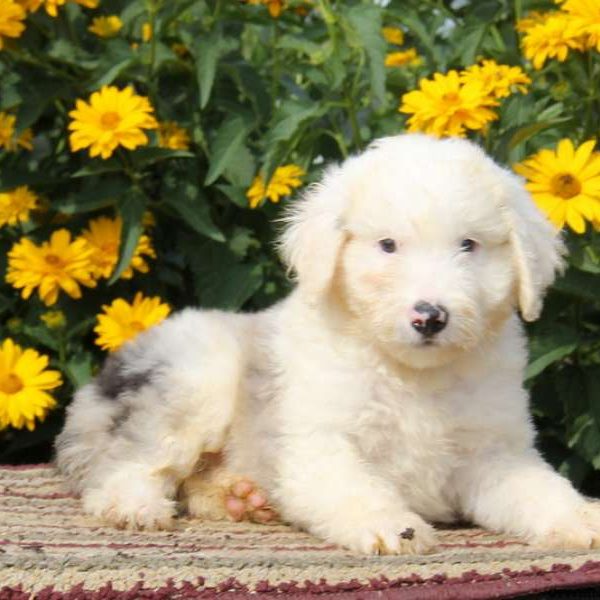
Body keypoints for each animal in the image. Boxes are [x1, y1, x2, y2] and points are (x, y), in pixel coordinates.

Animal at [56, 135, 600, 552]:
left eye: (468, 245)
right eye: (387, 246)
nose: (430, 316)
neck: (412, 376)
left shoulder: (496, 453)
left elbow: (541, 491)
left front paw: (583, 520)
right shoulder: (319, 444)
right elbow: (354, 488)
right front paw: (392, 527)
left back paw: (239, 498)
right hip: (193, 381)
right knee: (128, 462)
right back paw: (134, 505)